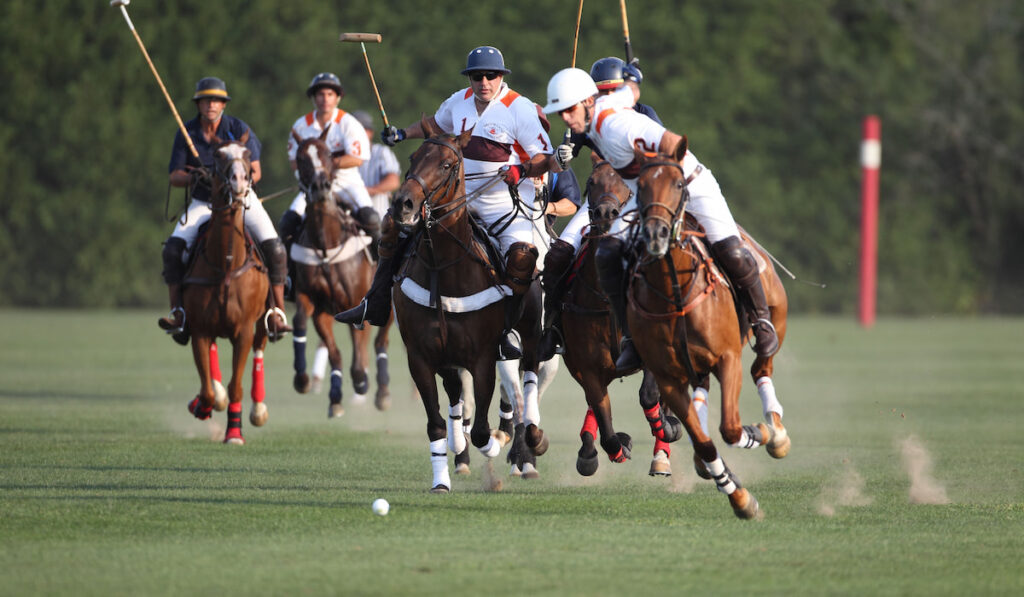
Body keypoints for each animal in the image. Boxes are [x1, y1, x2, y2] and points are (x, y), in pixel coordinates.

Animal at [181, 134, 270, 444]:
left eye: (247, 154)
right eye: (219, 155)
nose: (239, 180)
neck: (227, 262)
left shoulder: (243, 331)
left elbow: (236, 386)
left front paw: (234, 432)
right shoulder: (199, 329)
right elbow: (208, 388)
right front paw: (202, 405)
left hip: (263, 322)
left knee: (259, 349)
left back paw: (258, 410)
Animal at [288, 133, 391, 417]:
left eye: (327, 154)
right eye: (301, 158)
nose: (321, 187)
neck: (326, 246)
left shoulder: (356, 301)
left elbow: (358, 355)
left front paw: (361, 382)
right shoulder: (315, 303)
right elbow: (308, 329)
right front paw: (309, 383)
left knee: (381, 341)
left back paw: (381, 391)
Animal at [387, 122, 544, 495]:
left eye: (447, 164)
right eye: (413, 158)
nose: (403, 204)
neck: (443, 267)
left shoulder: (483, 357)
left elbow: (484, 431)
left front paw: (498, 445)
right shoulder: (421, 357)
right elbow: (436, 423)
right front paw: (441, 480)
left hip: (530, 331)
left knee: (530, 374)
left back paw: (530, 435)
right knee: (456, 395)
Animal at [622, 141, 790, 518]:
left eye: (678, 185)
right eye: (640, 188)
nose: (655, 235)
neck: (674, 290)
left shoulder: (727, 358)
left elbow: (729, 428)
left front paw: (757, 433)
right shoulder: (668, 378)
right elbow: (704, 441)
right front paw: (740, 498)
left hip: (776, 317)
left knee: (762, 366)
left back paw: (776, 433)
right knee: (702, 393)